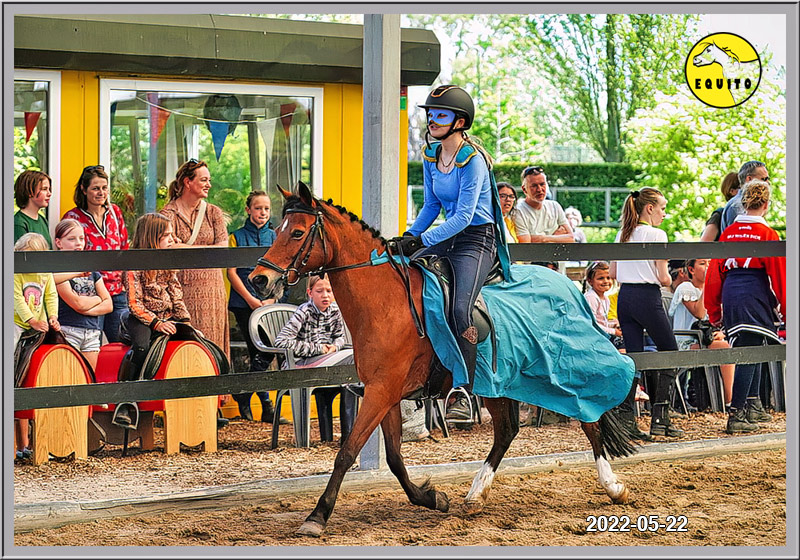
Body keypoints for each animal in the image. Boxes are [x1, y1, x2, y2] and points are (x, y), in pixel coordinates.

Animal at [250, 184, 636, 540]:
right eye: (277, 228)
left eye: (297, 232)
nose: (259, 279)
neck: (385, 301)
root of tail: (569, 288)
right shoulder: (385, 392)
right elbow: (394, 458)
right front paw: (432, 498)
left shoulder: (380, 391)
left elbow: (347, 452)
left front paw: (316, 517)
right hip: (501, 382)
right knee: (506, 432)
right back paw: (475, 496)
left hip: (561, 371)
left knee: (589, 417)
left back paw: (614, 486)